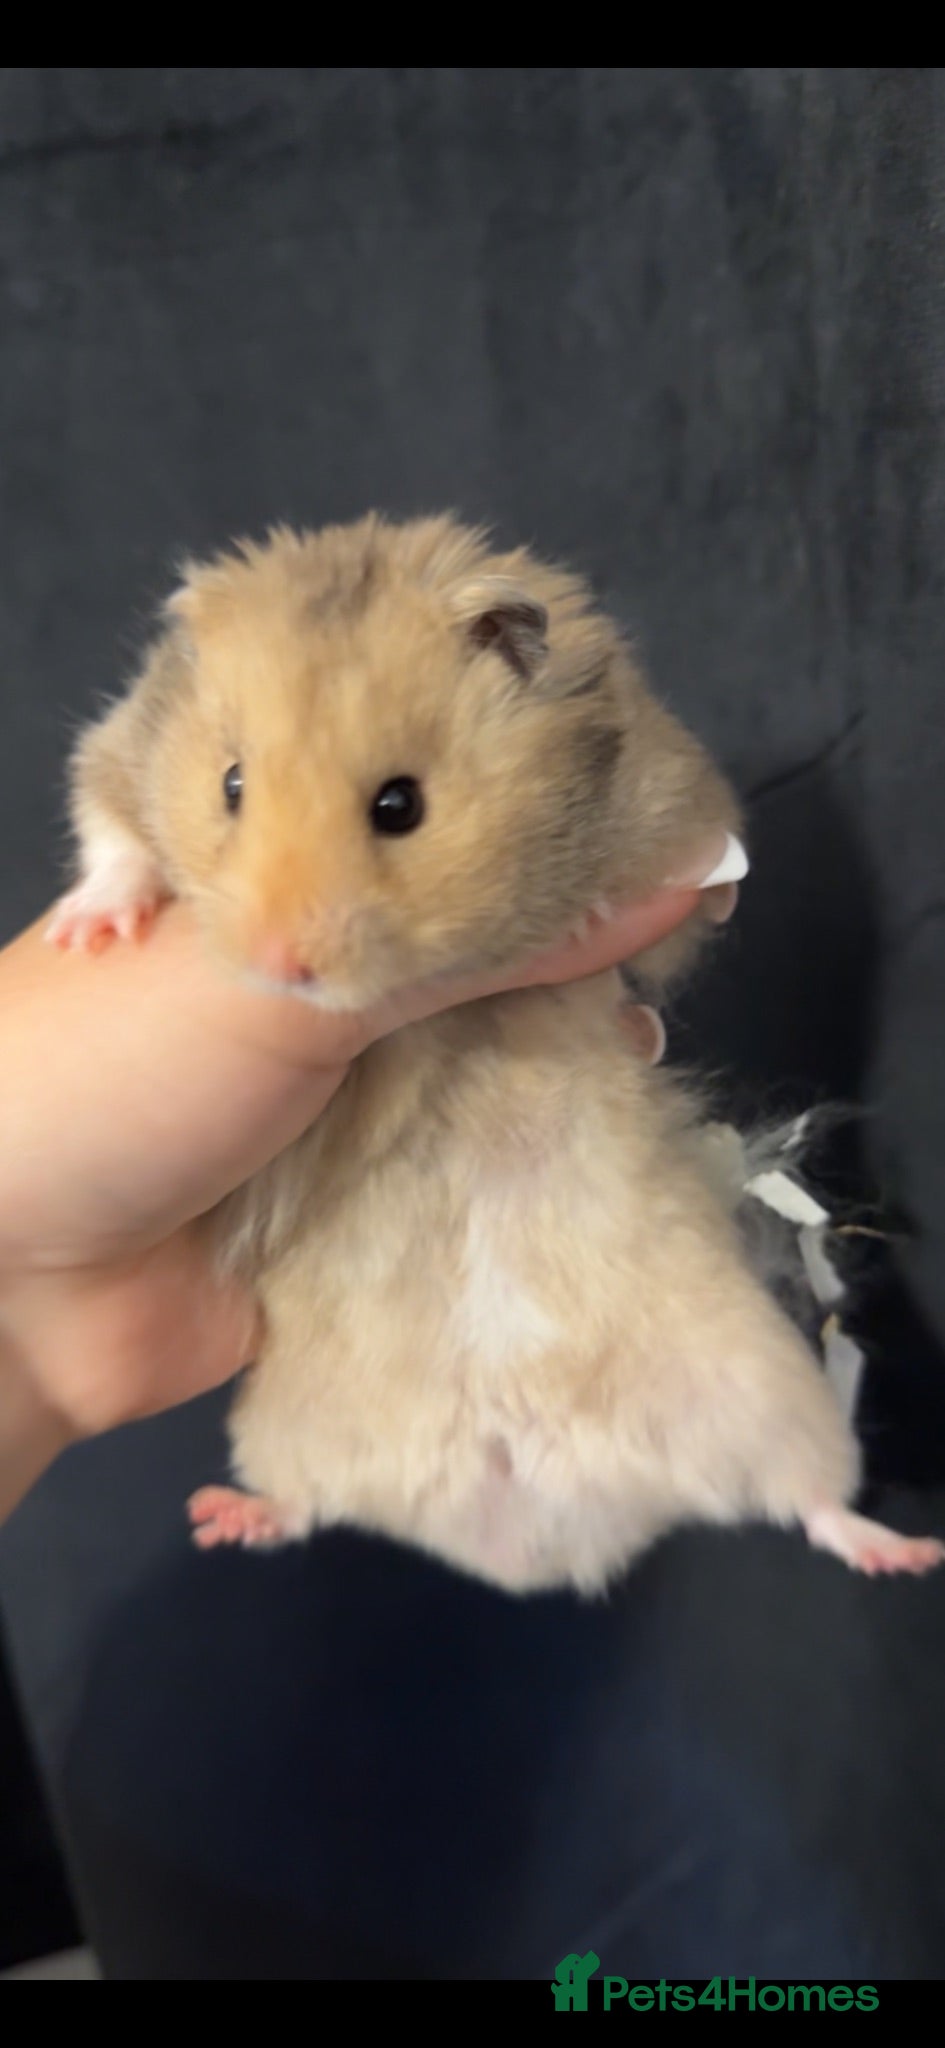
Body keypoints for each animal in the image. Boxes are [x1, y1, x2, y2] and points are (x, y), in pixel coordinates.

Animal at [49, 514, 942, 1592]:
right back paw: (224, 1518)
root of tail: (535, 1536)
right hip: (289, 1427)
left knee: (811, 1496)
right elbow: (112, 827)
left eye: (400, 805)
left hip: (766, 1388)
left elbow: (682, 909)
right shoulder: (114, 750)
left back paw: (906, 1550)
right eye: (230, 785)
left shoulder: (687, 815)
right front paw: (92, 931)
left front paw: (594, 920)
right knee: (308, 1501)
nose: (281, 965)